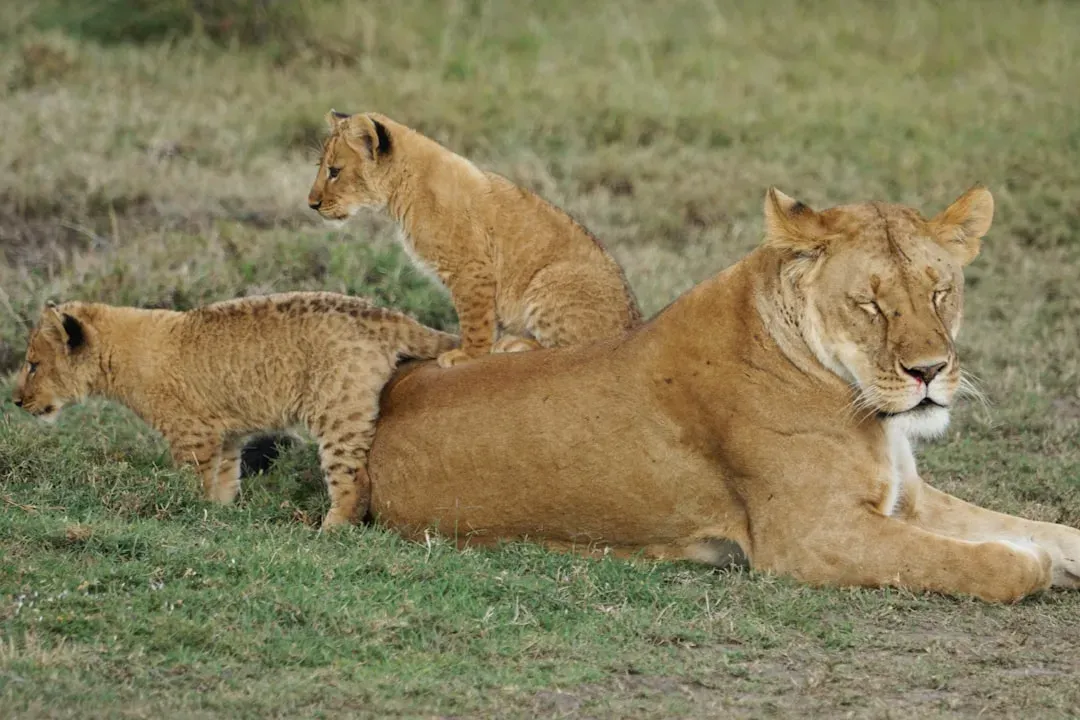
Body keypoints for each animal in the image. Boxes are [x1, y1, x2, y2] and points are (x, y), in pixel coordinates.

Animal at [11, 292, 456, 527]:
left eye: (33, 364)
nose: (15, 400)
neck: (120, 355)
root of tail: (384, 312)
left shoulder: (192, 434)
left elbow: (192, 481)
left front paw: (188, 511)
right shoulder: (223, 435)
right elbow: (224, 479)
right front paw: (220, 514)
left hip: (337, 411)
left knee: (354, 479)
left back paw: (330, 528)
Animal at [306, 110, 642, 367]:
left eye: (334, 171)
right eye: (322, 168)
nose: (312, 204)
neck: (403, 189)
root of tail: (635, 326)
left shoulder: (471, 269)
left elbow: (475, 319)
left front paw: (468, 355)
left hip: (550, 280)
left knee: (576, 349)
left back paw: (516, 344)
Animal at [362, 185, 1080, 603]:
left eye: (940, 292)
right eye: (870, 304)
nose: (929, 372)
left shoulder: (907, 499)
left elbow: (1051, 529)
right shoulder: (812, 536)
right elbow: (992, 564)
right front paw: (1027, 561)